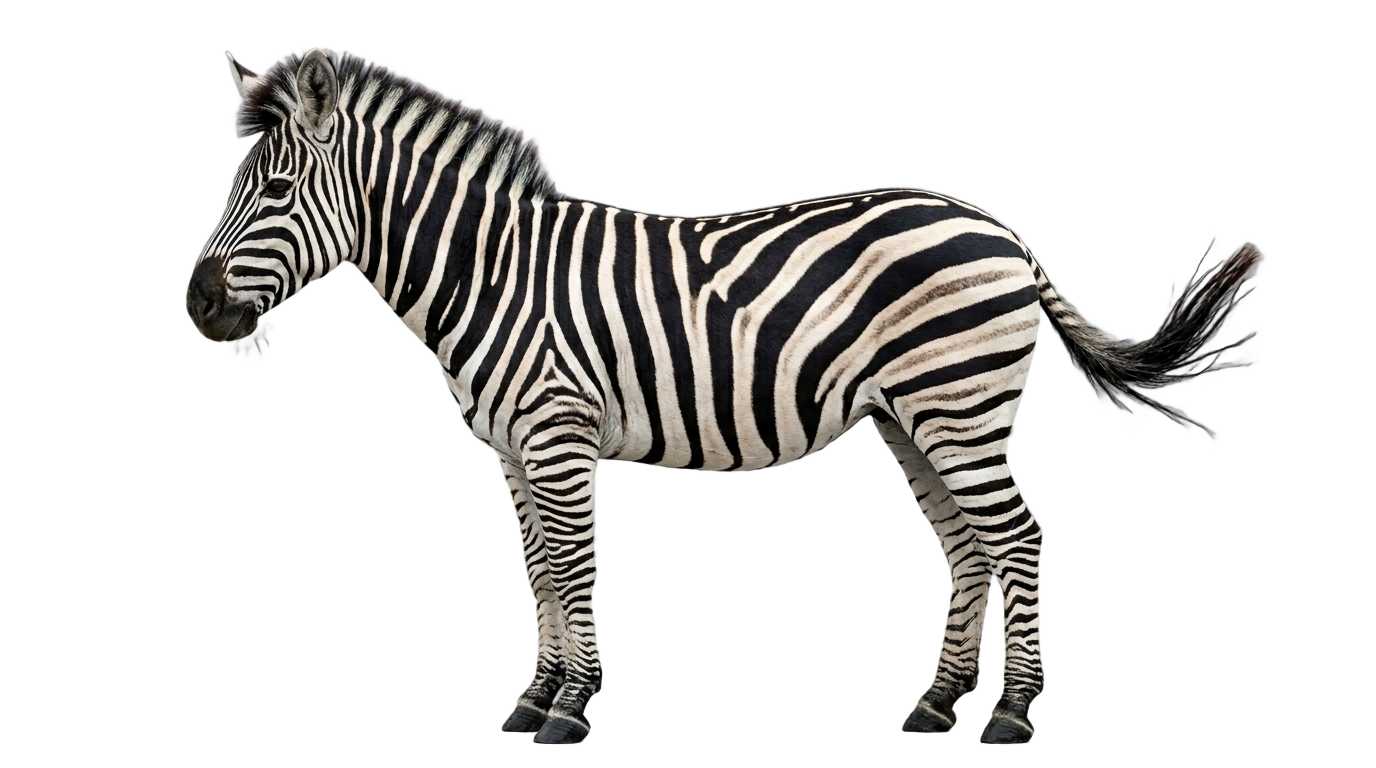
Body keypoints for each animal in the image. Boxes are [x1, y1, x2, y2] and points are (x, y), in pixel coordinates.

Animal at [185, 48, 1256, 745]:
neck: (489, 274)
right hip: (910, 416)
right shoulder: (505, 448)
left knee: (1019, 540)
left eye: (274, 191)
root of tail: (1000, 228)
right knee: (965, 544)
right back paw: (936, 706)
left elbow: (572, 567)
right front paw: (534, 695)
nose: (195, 299)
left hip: (958, 403)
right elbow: (533, 570)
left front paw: (572, 710)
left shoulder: (556, 433)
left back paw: (1015, 717)